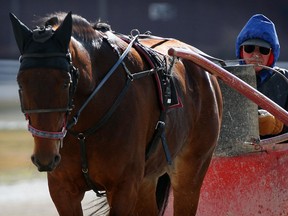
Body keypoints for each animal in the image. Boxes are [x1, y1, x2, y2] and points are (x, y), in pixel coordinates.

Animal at [8, 12, 220, 216]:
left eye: (66, 83)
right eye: (21, 83)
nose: (45, 156)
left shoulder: (123, 188)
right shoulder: (63, 190)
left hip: (190, 170)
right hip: (147, 180)